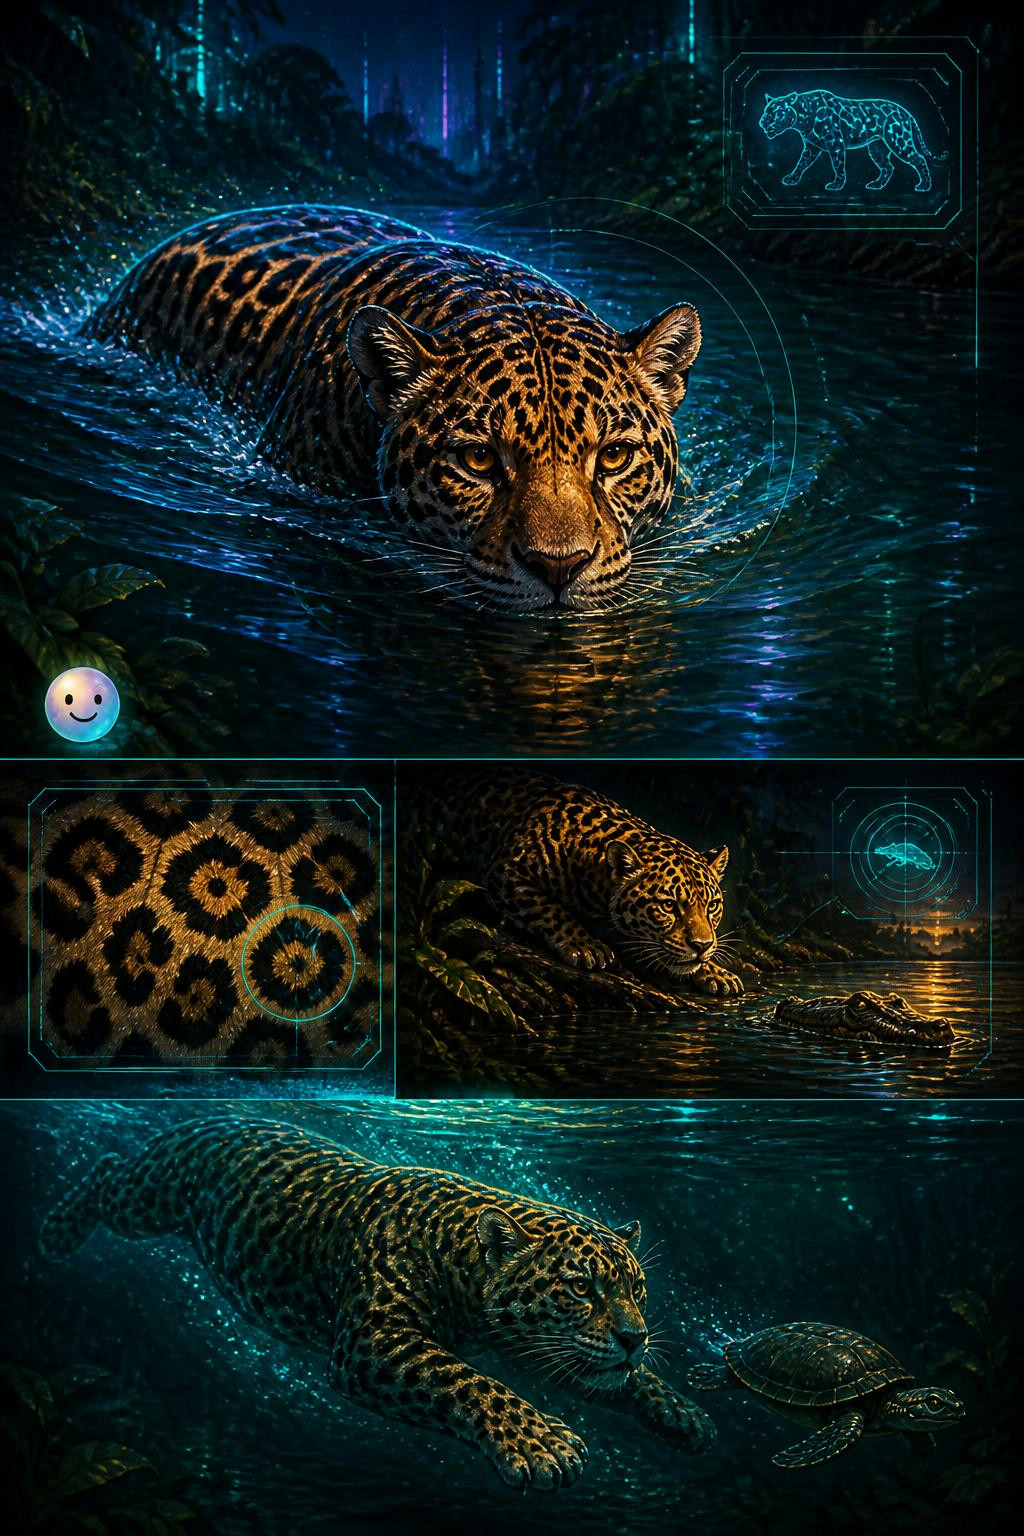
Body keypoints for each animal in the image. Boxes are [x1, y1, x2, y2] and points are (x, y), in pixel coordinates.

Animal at [40, 1115, 716, 1490]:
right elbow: (467, 1381)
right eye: (581, 1287)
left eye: (637, 1291)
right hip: (149, 1199)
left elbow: (615, 1380)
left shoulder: (539, 1346)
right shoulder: (369, 1346)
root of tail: (219, 1117)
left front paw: (684, 1415)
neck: (460, 1258)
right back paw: (58, 1228)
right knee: (108, 1172)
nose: (637, 1338)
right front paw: (539, 1443)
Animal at [426, 768, 742, 997]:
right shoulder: (505, 870)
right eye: (668, 906)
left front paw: (716, 972)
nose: (702, 945)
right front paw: (585, 946)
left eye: (712, 906)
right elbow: (548, 908)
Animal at [759, 90, 945, 193]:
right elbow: (801, 163)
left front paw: (836, 185)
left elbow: (837, 165)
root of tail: (906, 112)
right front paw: (792, 178)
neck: (803, 117)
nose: (761, 122)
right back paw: (877, 185)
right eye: (765, 110)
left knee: (919, 158)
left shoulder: (835, 143)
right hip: (877, 148)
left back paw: (925, 185)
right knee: (888, 167)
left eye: (775, 112)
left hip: (899, 142)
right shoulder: (811, 146)